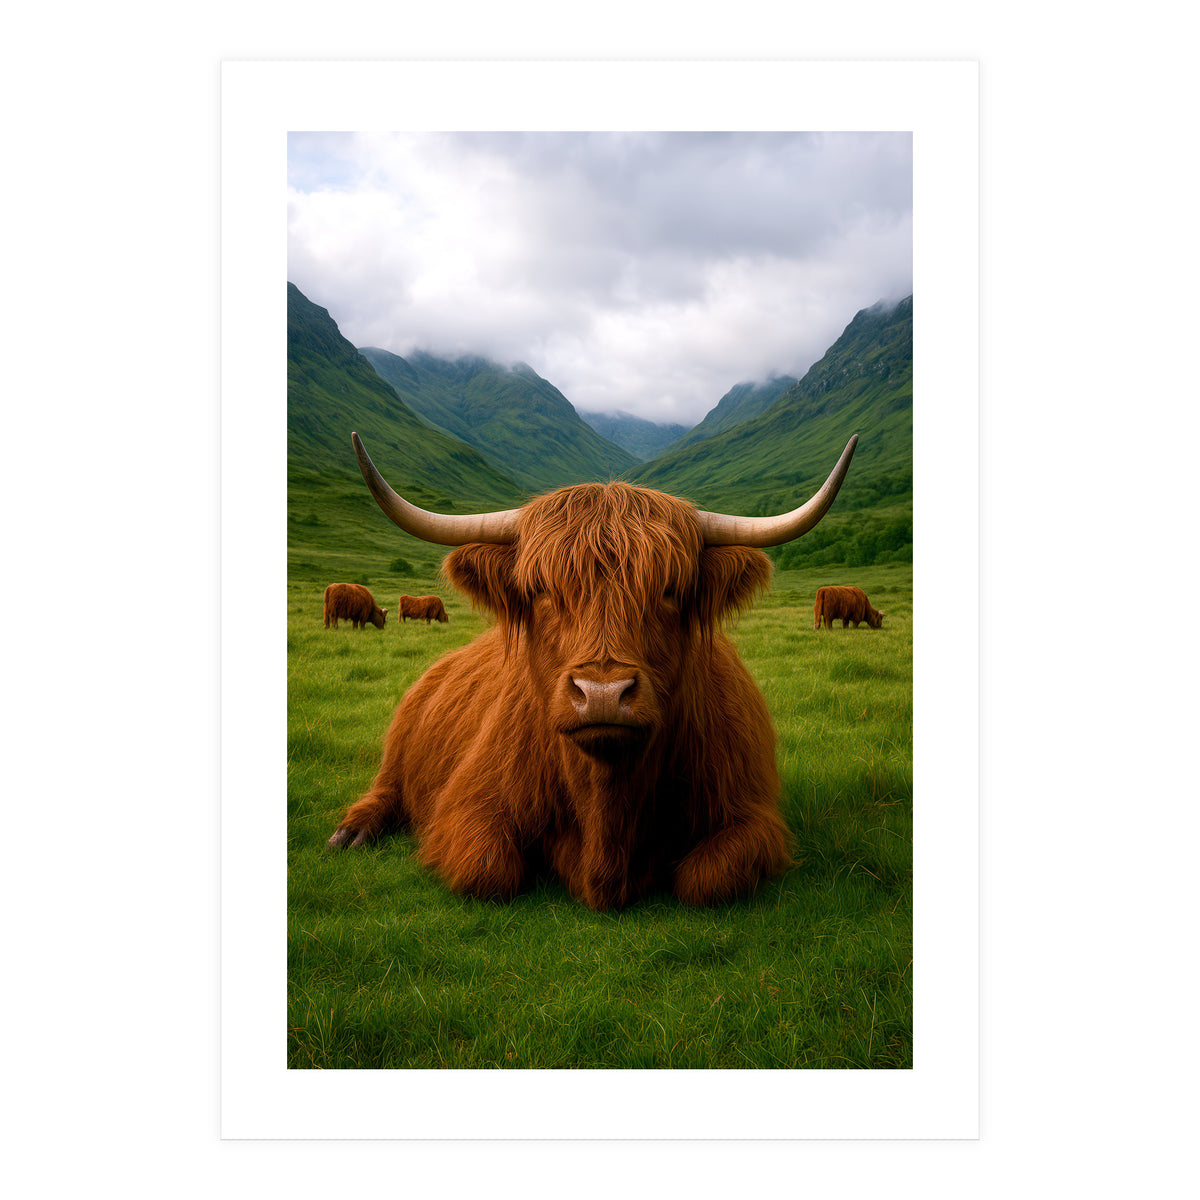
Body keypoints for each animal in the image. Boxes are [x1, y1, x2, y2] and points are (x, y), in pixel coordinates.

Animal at [327, 431, 858, 910]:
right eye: (541, 590)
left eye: (670, 590)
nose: (602, 693)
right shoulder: (467, 805)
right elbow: (489, 871)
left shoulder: (751, 816)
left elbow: (706, 880)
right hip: (399, 746)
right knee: (386, 788)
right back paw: (351, 832)